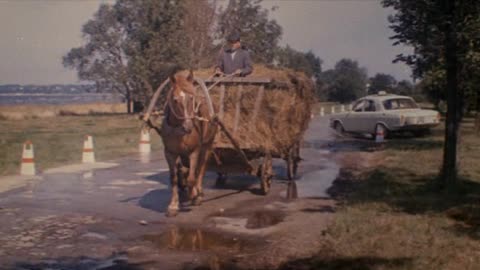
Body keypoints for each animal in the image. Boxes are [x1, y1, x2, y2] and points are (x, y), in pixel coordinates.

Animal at [160, 70, 217, 217]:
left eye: (192, 98)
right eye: (175, 100)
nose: (189, 126)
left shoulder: (194, 151)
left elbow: (192, 177)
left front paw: (194, 196)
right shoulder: (170, 153)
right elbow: (173, 178)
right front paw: (173, 205)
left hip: (207, 147)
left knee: (201, 169)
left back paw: (198, 192)